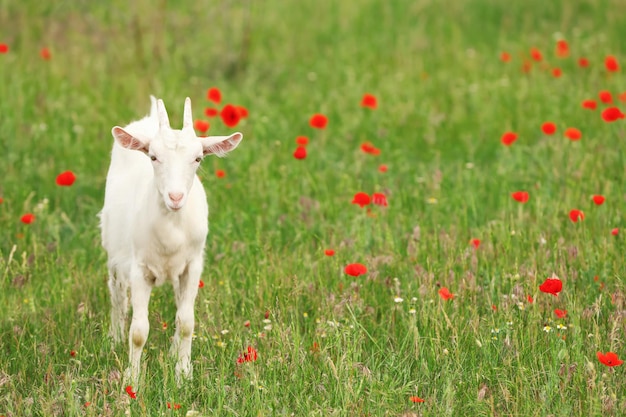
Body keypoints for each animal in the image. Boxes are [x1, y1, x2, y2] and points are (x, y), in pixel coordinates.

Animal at [100, 95, 241, 384]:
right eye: (153, 157)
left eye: (198, 158)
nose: (175, 197)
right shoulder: (139, 269)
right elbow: (138, 331)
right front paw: (132, 380)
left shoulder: (192, 266)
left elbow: (186, 322)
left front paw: (183, 372)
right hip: (114, 250)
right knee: (117, 295)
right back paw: (114, 338)